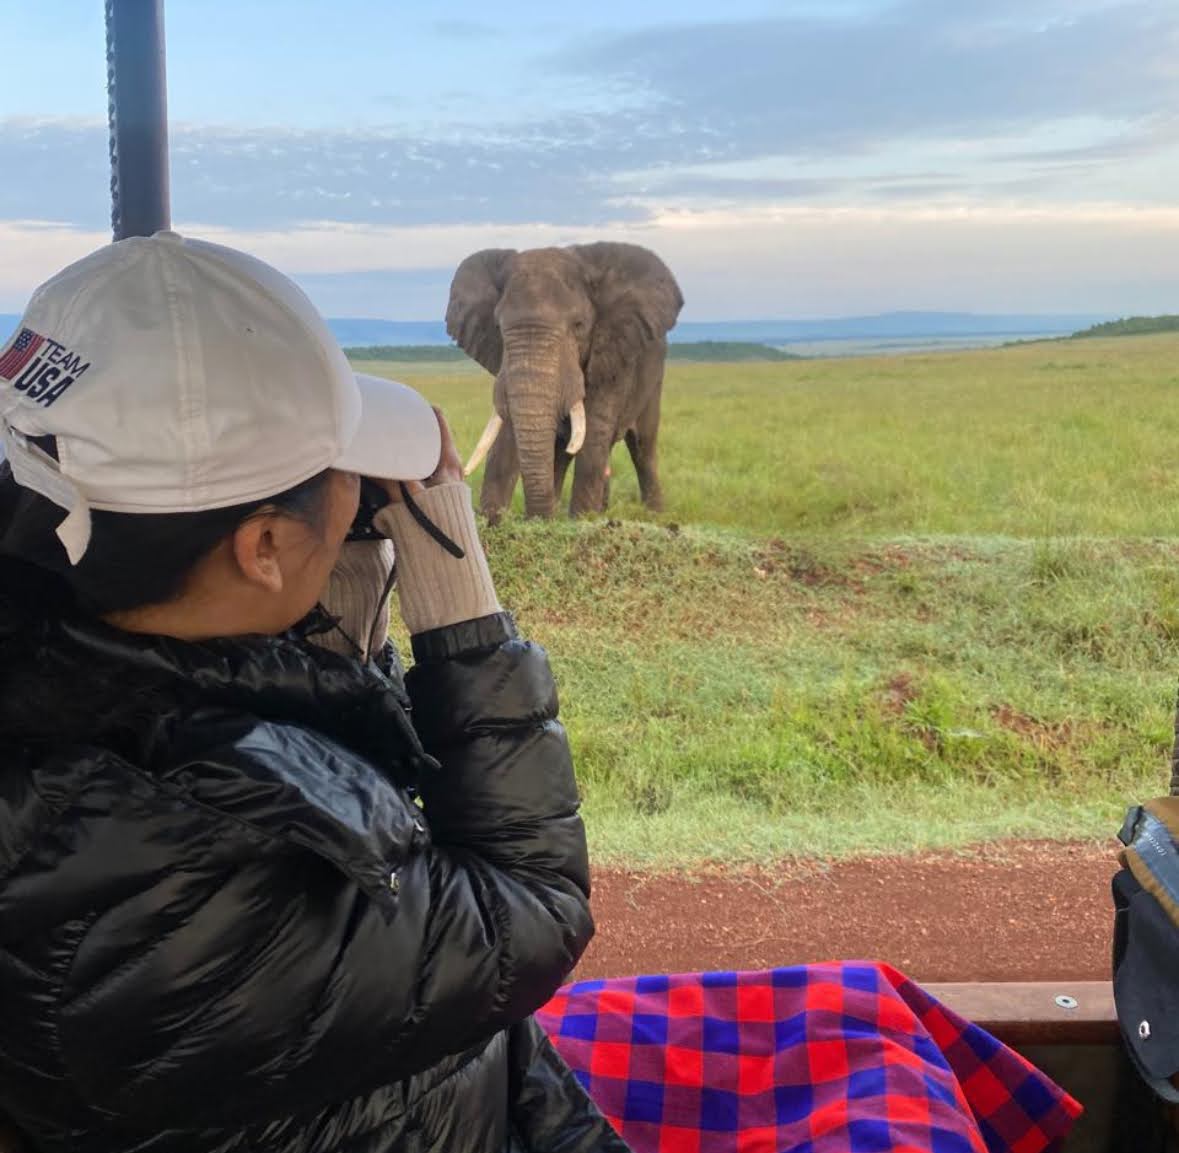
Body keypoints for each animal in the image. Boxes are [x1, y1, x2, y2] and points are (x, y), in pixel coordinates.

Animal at [443, 242, 683, 521]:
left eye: (579, 325)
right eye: (498, 327)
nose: (535, 519)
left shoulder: (613, 355)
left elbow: (594, 434)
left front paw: (580, 521)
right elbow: (507, 433)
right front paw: (495, 519)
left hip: (653, 380)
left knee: (642, 447)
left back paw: (655, 516)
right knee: (564, 453)